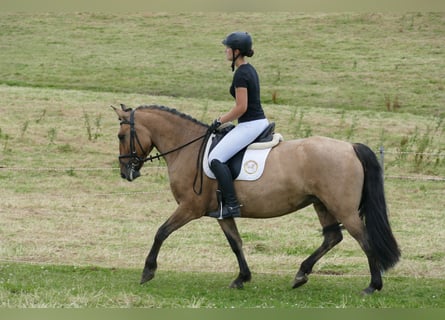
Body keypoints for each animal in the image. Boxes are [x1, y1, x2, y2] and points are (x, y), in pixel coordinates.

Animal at [110, 104, 398, 294]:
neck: (188, 148)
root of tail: (350, 147)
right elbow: (235, 243)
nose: (126, 172)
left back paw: (373, 286)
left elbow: (161, 232)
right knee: (332, 237)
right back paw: (301, 274)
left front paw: (148, 271)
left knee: (363, 238)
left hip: (343, 208)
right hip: (322, 204)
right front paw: (242, 278)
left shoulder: (190, 208)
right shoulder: (222, 213)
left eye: (121, 136)